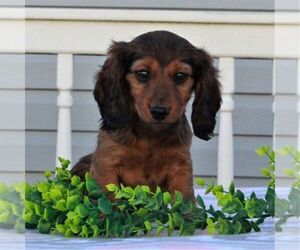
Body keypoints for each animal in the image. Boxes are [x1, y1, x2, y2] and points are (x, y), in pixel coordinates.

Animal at [71, 30, 221, 200]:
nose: (159, 112)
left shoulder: (181, 168)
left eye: (180, 76)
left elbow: (185, 202)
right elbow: (109, 200)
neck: (150, 136)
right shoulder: (106, 165)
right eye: (142, 74)